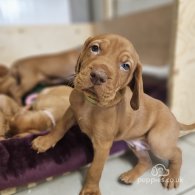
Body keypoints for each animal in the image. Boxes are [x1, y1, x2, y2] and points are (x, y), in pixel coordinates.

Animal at [30, 34, 195, 194]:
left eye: (125, 66)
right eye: (95, 48)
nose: (98, 76)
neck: (91, 103)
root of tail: (175, 118)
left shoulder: (103, 145)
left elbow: (95, 170)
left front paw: (90, 190)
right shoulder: (71, 111)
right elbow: (60, 127)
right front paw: (45, 141)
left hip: (157, 141)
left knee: (177, 152)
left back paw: (172, 176)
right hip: (135, 144)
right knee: (146, 161)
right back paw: (131, 175)